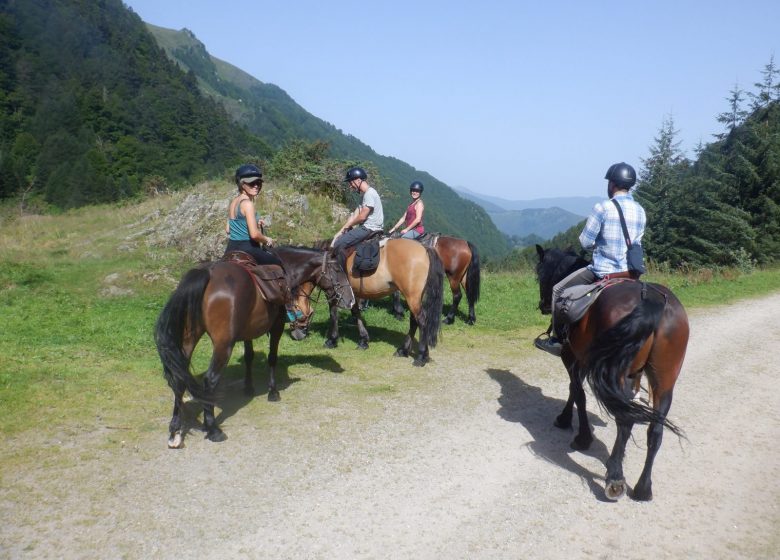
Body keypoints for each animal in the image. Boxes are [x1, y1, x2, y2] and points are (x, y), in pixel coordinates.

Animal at [155, 247, 354, 448]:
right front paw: (273, 392)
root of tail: (207, 274)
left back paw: (175, 431)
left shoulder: (248, 332)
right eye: (338, 270)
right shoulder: (277, 326)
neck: (287, 273)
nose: (350, 300)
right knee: (209, 380)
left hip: (188, 340)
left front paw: (249, 387)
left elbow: (249, 356)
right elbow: (272, 358)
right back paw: (213, 429)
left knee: (179, 379)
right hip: (223, 345)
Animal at [536, 246, 688, 504]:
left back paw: (615, 478)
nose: (544, 304)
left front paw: (578, 434)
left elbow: (577, 392)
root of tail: (652, 299)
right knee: (655, 430)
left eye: (539, 274)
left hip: (615, 373)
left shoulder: (572, 356)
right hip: (664, 380)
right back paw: (643, 488)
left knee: (625, 420)